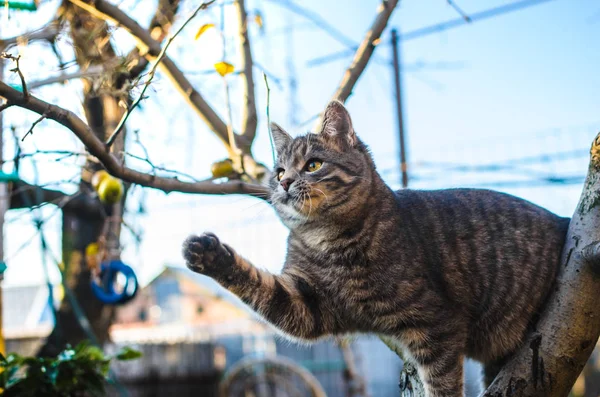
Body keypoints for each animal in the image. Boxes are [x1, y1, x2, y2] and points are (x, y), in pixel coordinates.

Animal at [182, 100, 568, 394]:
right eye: (278, 172)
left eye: (313, 164)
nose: (286, 183)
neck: (327, 243)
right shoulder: (306, 303)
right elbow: (259, 286)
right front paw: (206, 253)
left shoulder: (437, 325)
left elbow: (443, 384)